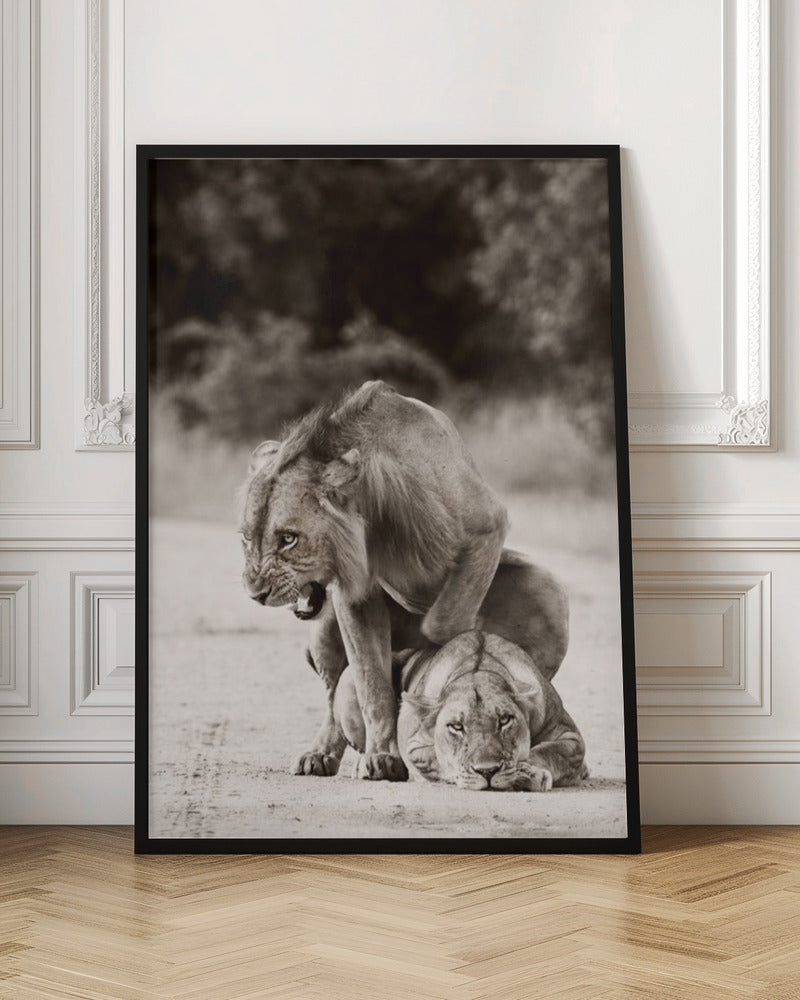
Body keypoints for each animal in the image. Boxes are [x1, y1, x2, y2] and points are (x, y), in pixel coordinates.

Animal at [240, 380, 567, 781]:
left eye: (288, 538)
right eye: (246, 538)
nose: (255, 593)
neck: (371, 508)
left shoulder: (486, 526)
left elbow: (443, 625)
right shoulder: (354, 595)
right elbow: (372, 684)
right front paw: (382, 757)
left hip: (547, 592)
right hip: (324, 629)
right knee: (334, 694)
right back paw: (320, 754)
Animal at [334, 630, 587, 791]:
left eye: (504, 720)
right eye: (456, 726)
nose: (487, 771)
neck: (480, 668)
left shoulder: (569, 735)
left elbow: (550, 751)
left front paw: (528, 772)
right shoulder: (415, 745)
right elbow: (439, 759)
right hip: (349, 678)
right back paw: (375, 763)